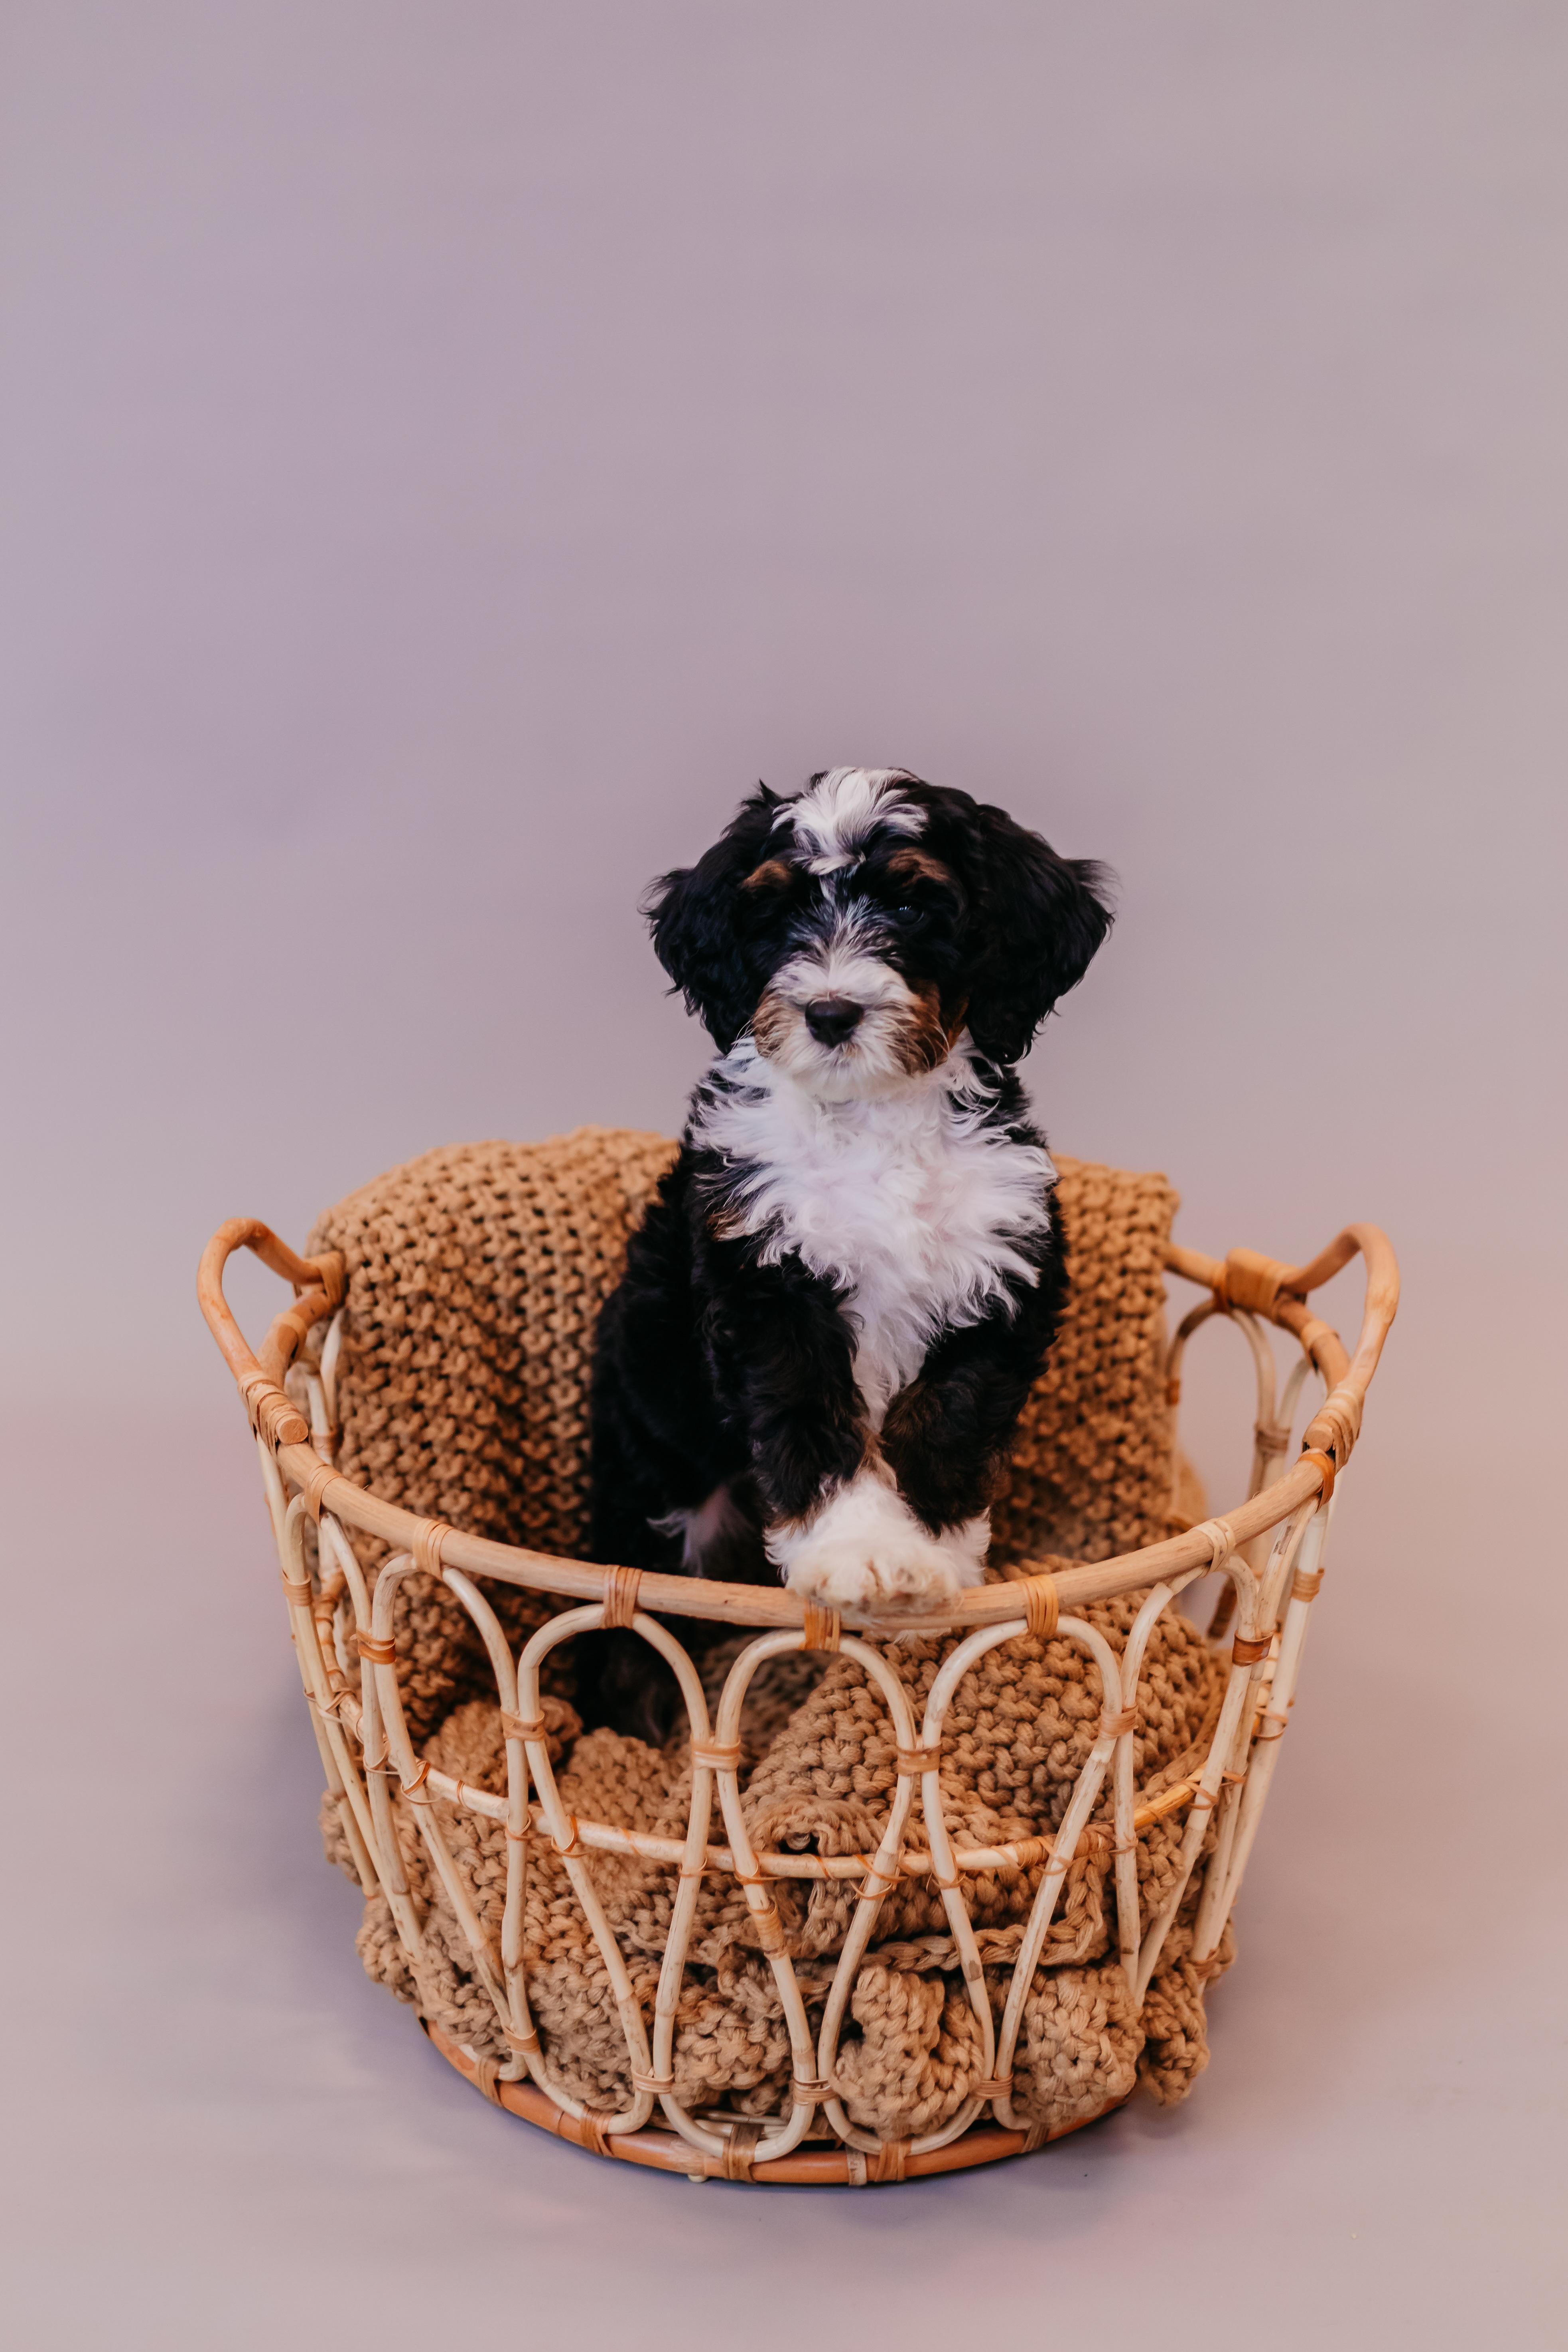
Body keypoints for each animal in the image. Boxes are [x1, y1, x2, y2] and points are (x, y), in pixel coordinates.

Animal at [584, 767, 1112, 1738]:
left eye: (911, 904)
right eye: (777, 913)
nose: (831, 1011)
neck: (874, 1114)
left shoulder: (1004, 1266)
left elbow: (947, 1416)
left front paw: (930, 1557)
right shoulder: (765, 1277)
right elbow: (810, 1415)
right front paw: (858, 1549)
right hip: (654, 1459)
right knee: (635, 1601)